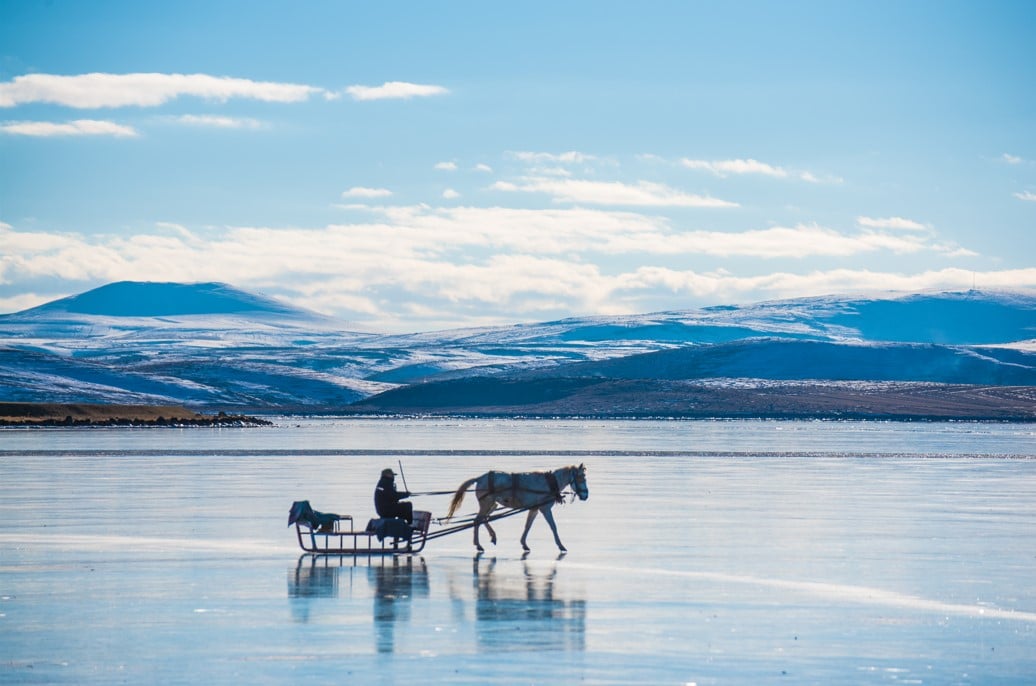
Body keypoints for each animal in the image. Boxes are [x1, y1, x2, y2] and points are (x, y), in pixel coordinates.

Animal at [445, 462, 592, 555]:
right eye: (581, 478)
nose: (585, 495)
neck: (550, 483)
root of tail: (479, 478)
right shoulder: (544, 509)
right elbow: (553, 526)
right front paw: (561, 545)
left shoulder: (534, 509)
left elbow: (528, 526)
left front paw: (524, 544)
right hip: (486, 503)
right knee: (477, 521)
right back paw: (478, 545)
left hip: (493, 504)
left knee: (484, 519)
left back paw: (492, 537)